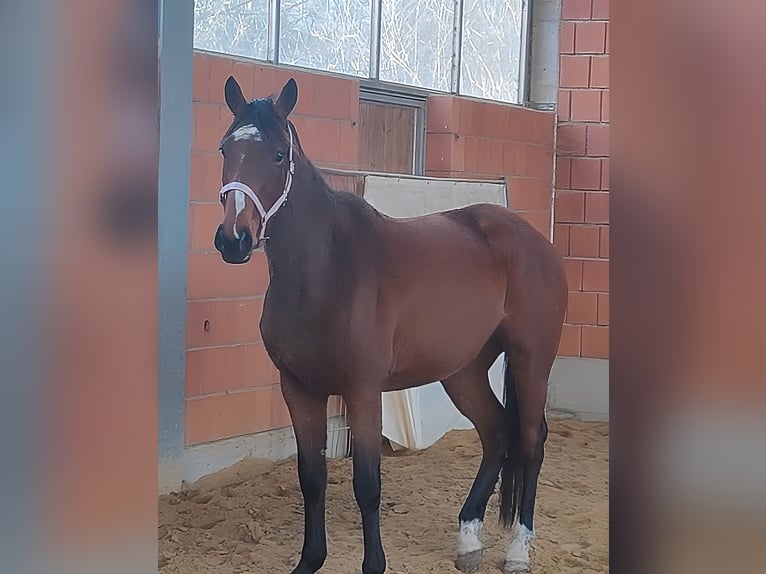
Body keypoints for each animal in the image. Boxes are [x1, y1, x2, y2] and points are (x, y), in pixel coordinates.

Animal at [212, 75, 568, 574]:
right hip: (463, 370)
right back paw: (468, 540)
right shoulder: (298, 389)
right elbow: (311, 478)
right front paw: (310, 560)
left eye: (279, 155)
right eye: (226, 149)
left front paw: (373, 564)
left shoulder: (363, 391)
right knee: (496, 432)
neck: (325, 271)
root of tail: (533, 239)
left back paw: (518, 549)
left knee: (532, 440)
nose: (234, 239)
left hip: (531, 359)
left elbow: (367, 484)